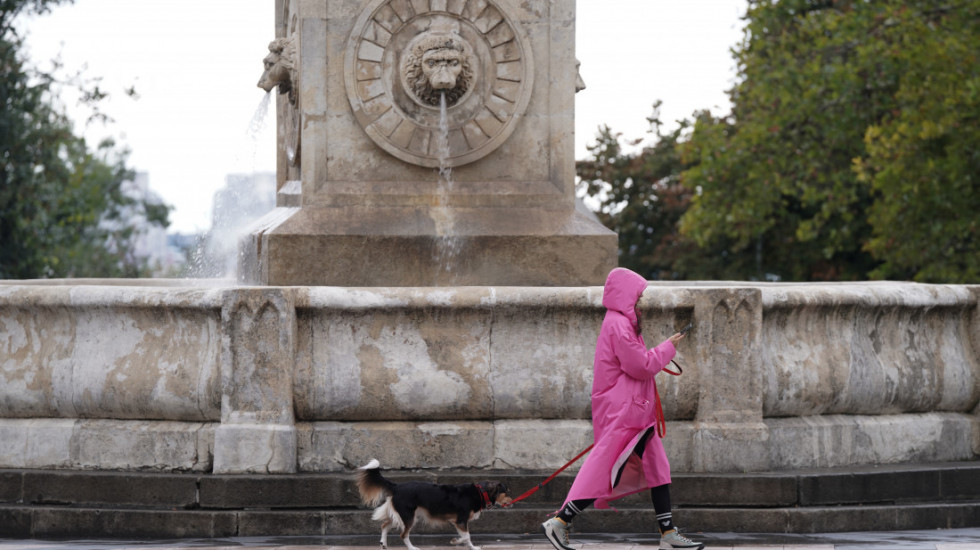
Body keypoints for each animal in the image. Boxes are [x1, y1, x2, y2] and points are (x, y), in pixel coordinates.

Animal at [358, 460, 512, 550]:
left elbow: (467, 538)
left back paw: (383, 544)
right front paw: (455, 542)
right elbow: (467, 536)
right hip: (409, 516)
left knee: (385, 525)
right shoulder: (461, 520)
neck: (480, 492)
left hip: (404, 515)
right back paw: (412, 548)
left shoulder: (459, 522)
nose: (511, 501)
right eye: (506, 492)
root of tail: (397, 486)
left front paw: (472, 548)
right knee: (403, 535)